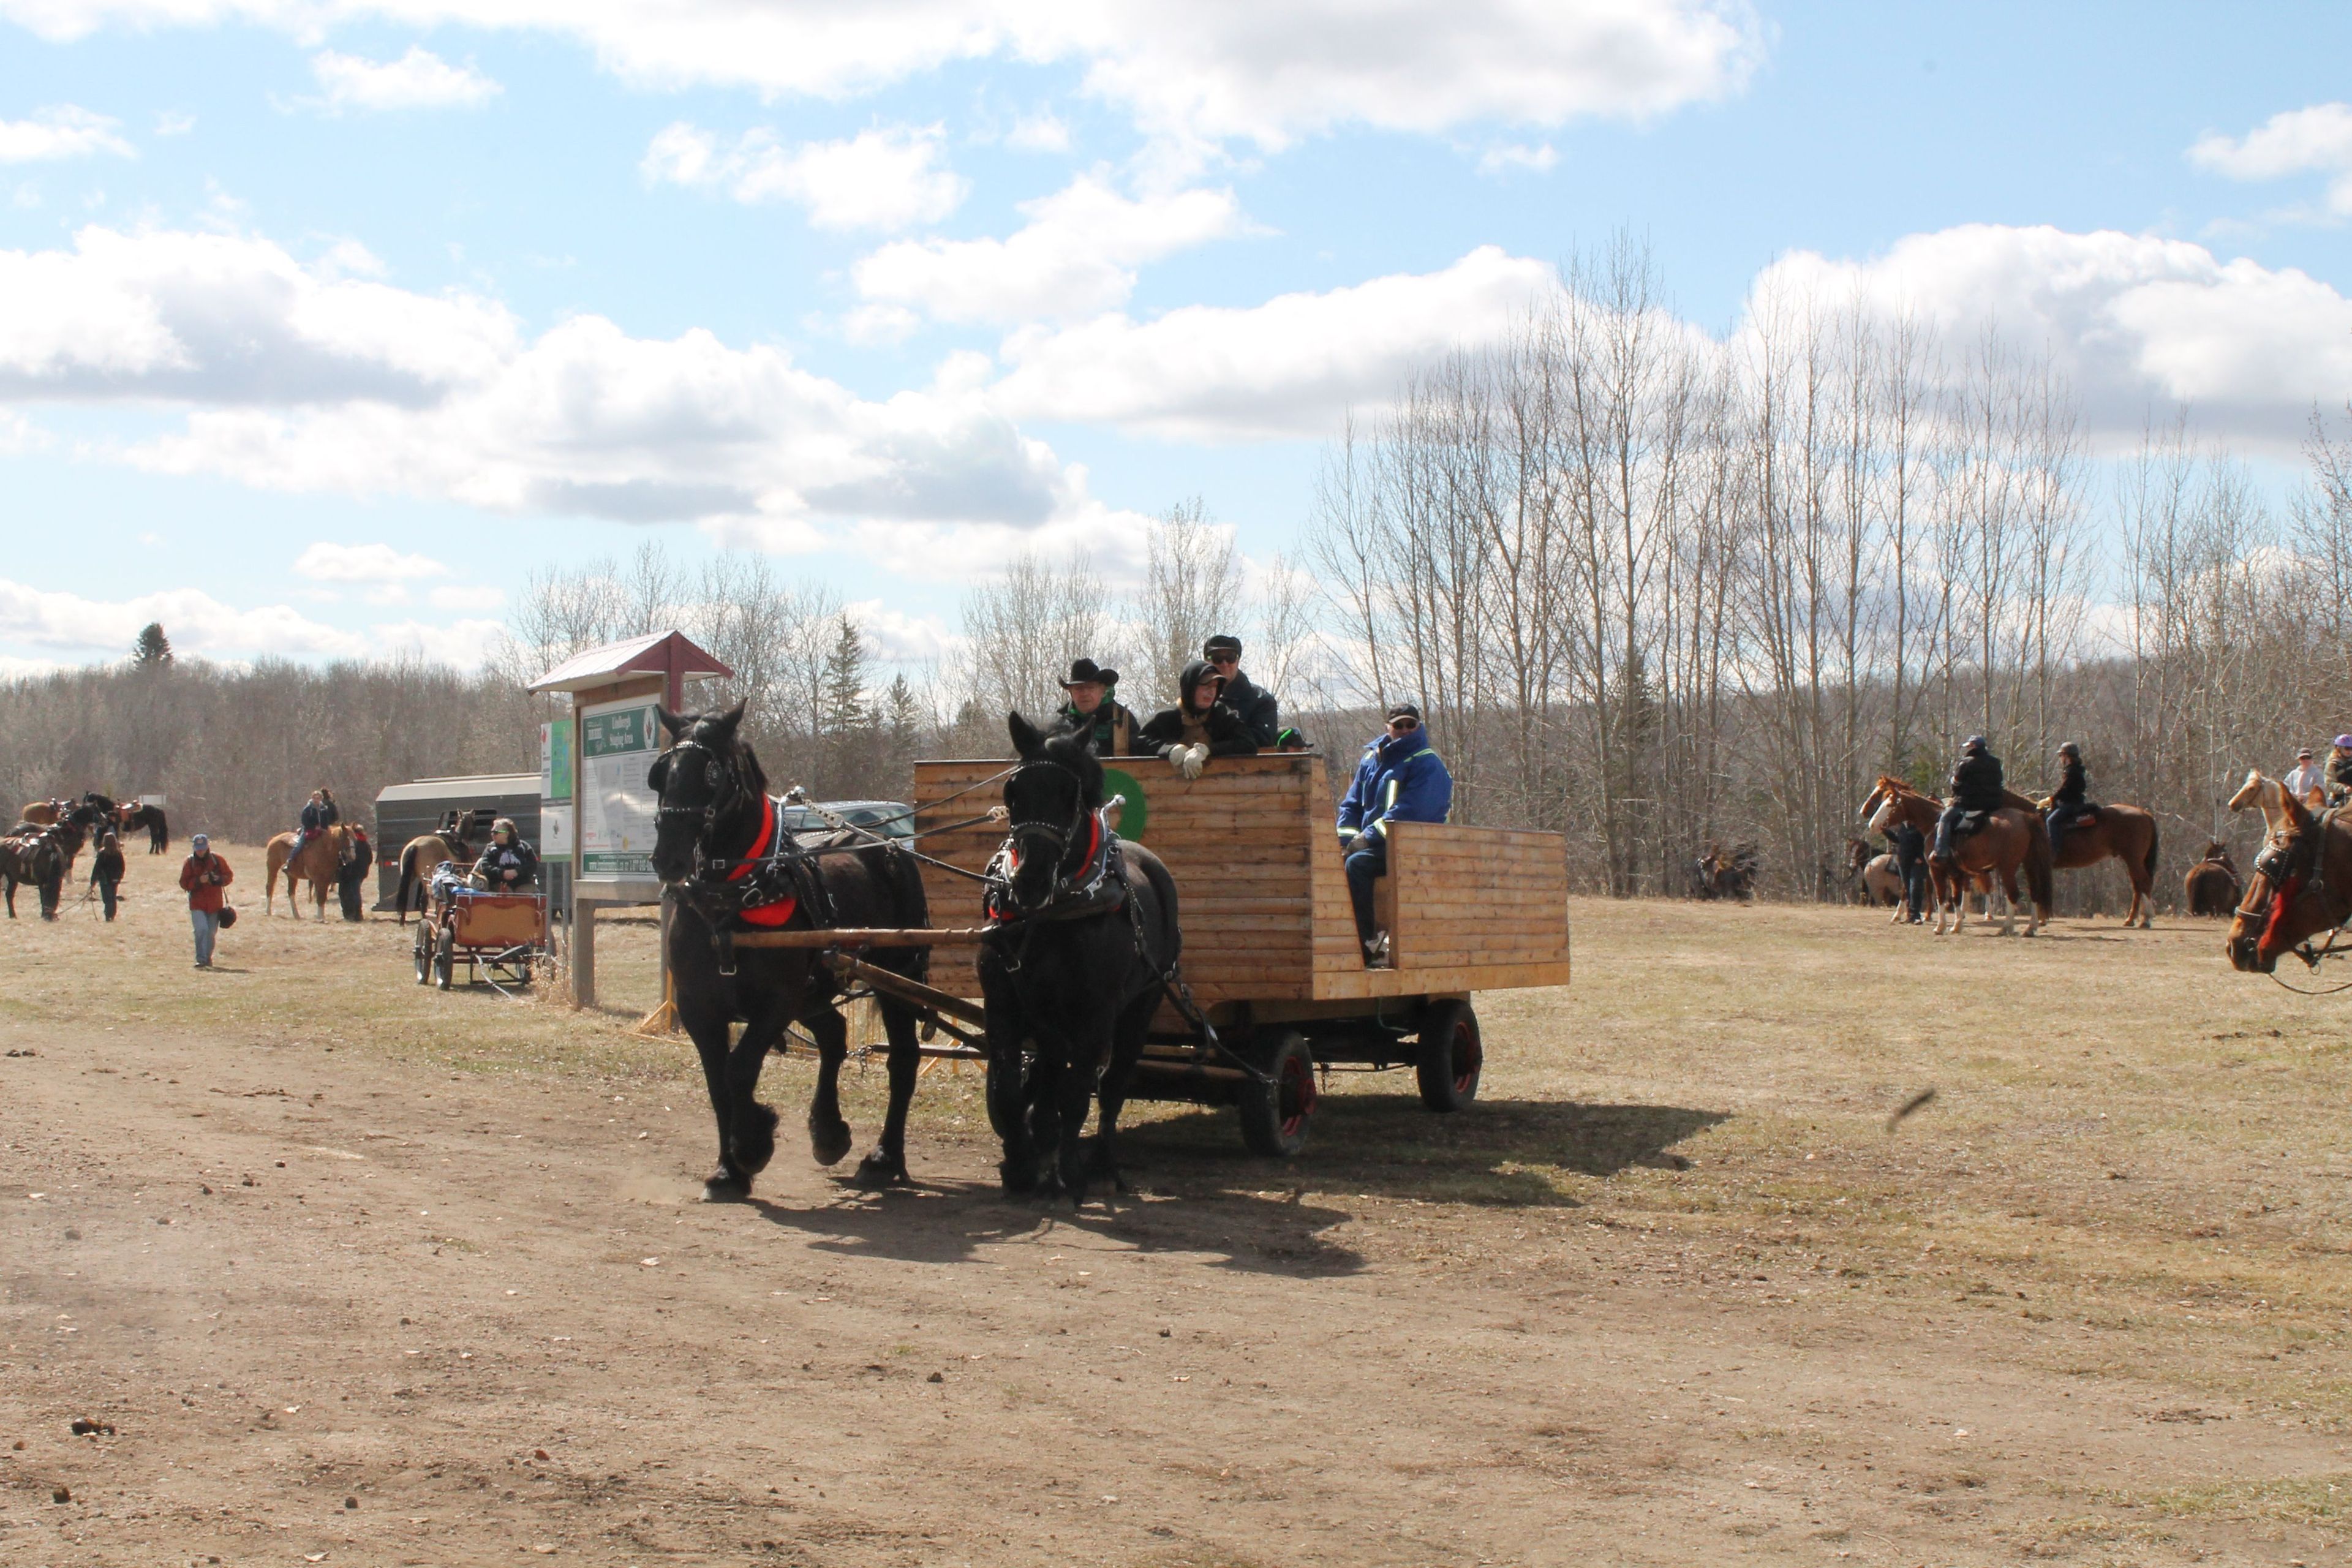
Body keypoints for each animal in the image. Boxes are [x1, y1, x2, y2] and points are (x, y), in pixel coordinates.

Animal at [654, 700, 936, 1204]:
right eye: (662, 773)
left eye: (712, 773)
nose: (668, 857)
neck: (729, 902)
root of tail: (887, 845)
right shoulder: (697, 1007)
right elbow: (717, 1082)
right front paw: (727, 1170)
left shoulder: (776, 1003)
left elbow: (740, 1070)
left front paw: (751, 1145)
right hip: (816, 990)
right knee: (835, 1035)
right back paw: (829, 1132)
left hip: (893, 979)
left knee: (902, 1059)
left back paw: (884, 1158)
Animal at [983, 719, 1185, 1213]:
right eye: (1013, 791)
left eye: (1069, 794)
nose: (1029, 881)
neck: (1053, 914)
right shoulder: (1005, 1005)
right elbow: (1010, 1087)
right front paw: (1021, 1165)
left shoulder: (1097, 1013)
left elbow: (1078, 1094)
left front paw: (1070, 1173)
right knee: (1053, 1074)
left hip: (1142, 1004)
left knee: (1111, 1085)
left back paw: (1102, 1168)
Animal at [1863, 780, 2051, 940]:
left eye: (1889, 805)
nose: (1872, 824)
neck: (1933, 823)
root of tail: (2026, 817)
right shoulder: (1957, 873)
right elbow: (1956, 897)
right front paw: (1957, 925)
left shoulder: (1936, 870)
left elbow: (1941, 896)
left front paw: (1941, 927)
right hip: (2029, 864)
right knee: (2035, 892)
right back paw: (2030, 928)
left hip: (2007, 868)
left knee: (2012, 894)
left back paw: (2006, 927)